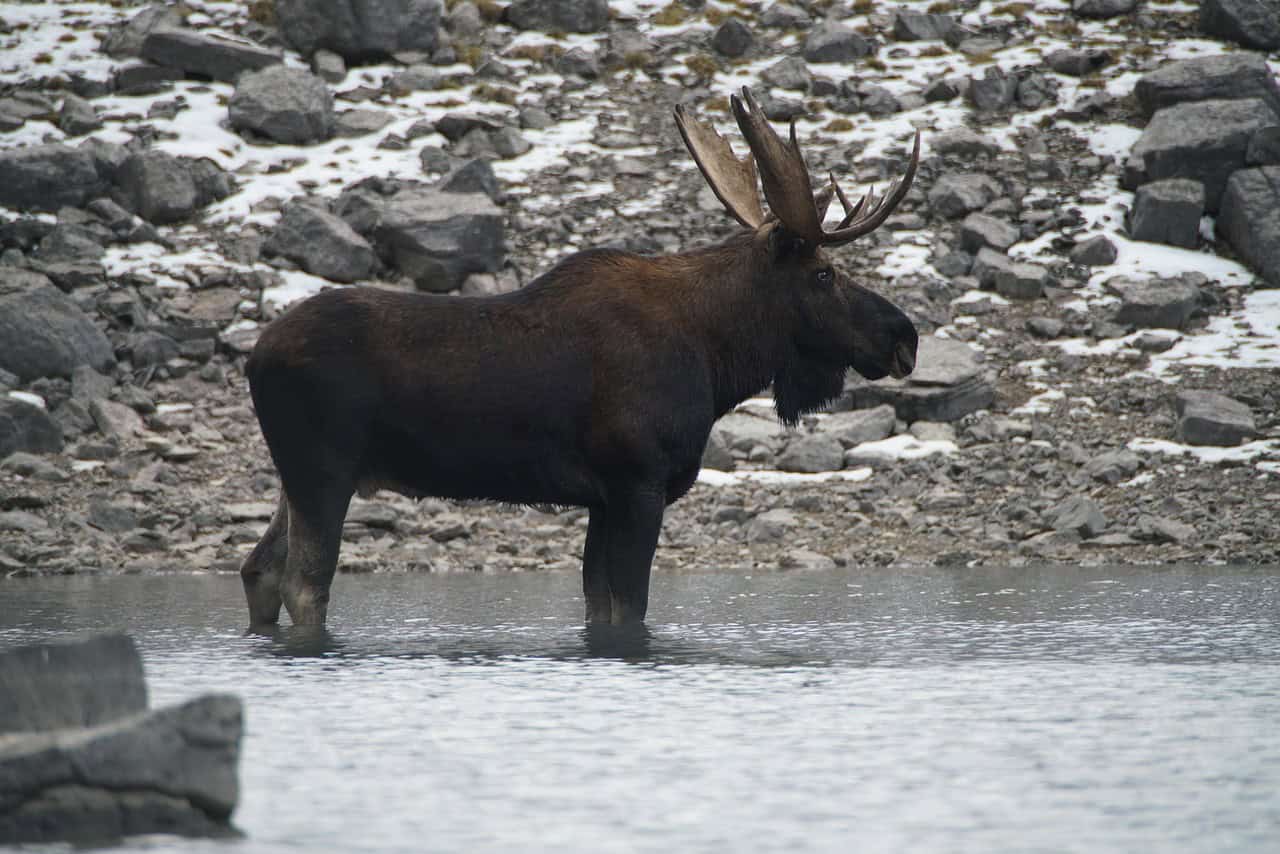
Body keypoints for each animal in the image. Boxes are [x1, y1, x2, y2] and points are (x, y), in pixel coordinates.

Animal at [239, 87, 920, 627]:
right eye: (825, 274)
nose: (904, 337)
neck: (717, 357)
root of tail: (252, 359)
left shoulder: (599, 499)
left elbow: (602, 609)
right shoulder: (638, 483)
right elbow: (631, 607)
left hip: (298, 477)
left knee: (257, 569)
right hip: (324, 470)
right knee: (305, 584)